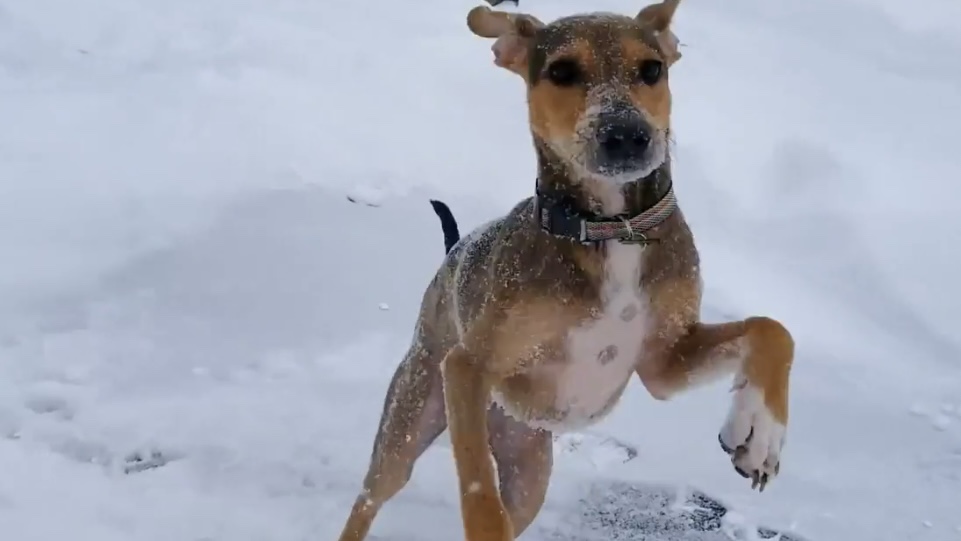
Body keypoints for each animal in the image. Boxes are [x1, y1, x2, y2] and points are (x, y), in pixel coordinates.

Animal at [338, 2, 796, 536]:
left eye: (652, 69)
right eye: (561, 72)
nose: (627, 135)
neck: (611, 229)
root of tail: (451, 254)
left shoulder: (665, 363)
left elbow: (772, 330)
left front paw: (758, 434)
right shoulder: (468, 367)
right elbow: (476, 483)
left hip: (529, 466)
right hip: (415, 412)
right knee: (371, 497)